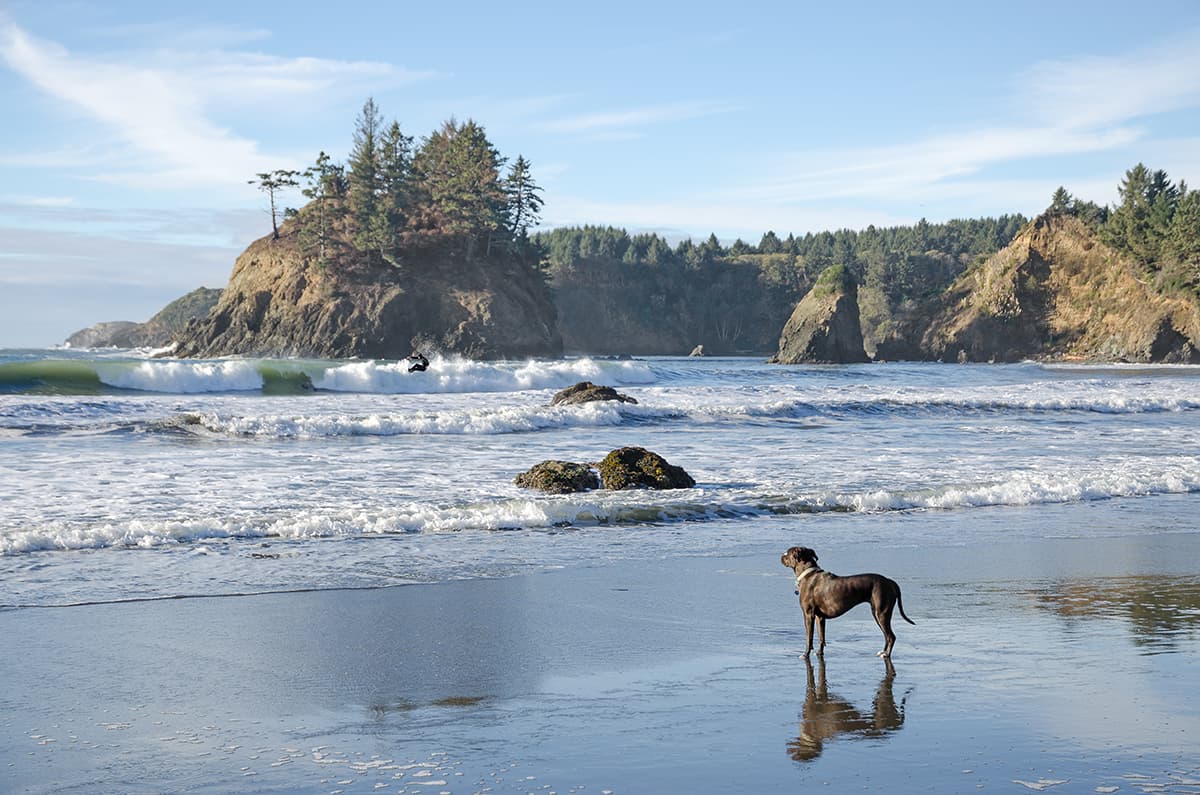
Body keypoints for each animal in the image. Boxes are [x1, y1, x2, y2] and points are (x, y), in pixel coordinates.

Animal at [782, 547, 912, 658]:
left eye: (787, 553)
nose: (781, 556)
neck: (808, 574)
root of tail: (890, 582)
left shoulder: (808, 615)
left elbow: (809, 638)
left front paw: (805, 655)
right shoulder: (820, 617)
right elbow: (821, 637)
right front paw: (820, 653)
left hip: (882, 613)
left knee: (891, 636)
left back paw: (887, 654)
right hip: (877, 613)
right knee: (886, 635)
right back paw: (883, 651)